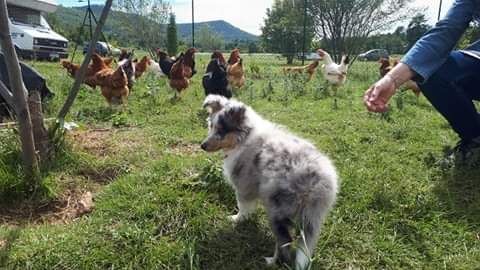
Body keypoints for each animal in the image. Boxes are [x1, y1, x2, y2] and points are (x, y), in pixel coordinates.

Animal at [199, 95, 338, 270]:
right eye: (211, 126)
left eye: (221, 131)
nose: (202, 146)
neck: (245, 137)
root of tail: (317, 183)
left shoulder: (243, 184)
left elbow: (242, 206)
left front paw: (236, 219)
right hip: (311, 217)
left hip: (277, 210)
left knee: (285, 242)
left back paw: (272, 261)